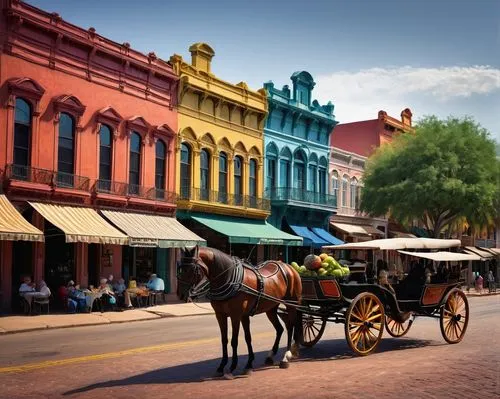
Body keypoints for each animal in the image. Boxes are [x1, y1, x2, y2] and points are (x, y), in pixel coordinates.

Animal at [180, 245, 304, 380]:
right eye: (180, 268)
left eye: (191, 269)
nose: (181, 295)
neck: (228, 279)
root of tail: (289, 267)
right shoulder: (222, 315)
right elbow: (233, 339)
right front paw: (233, 366)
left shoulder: (236, 315)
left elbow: (234, 341)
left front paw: (232, 368)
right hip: (271, 308)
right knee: (280, 329)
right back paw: (271, 355)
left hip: (291, 304)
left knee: (291, 326)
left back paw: (286, 356)